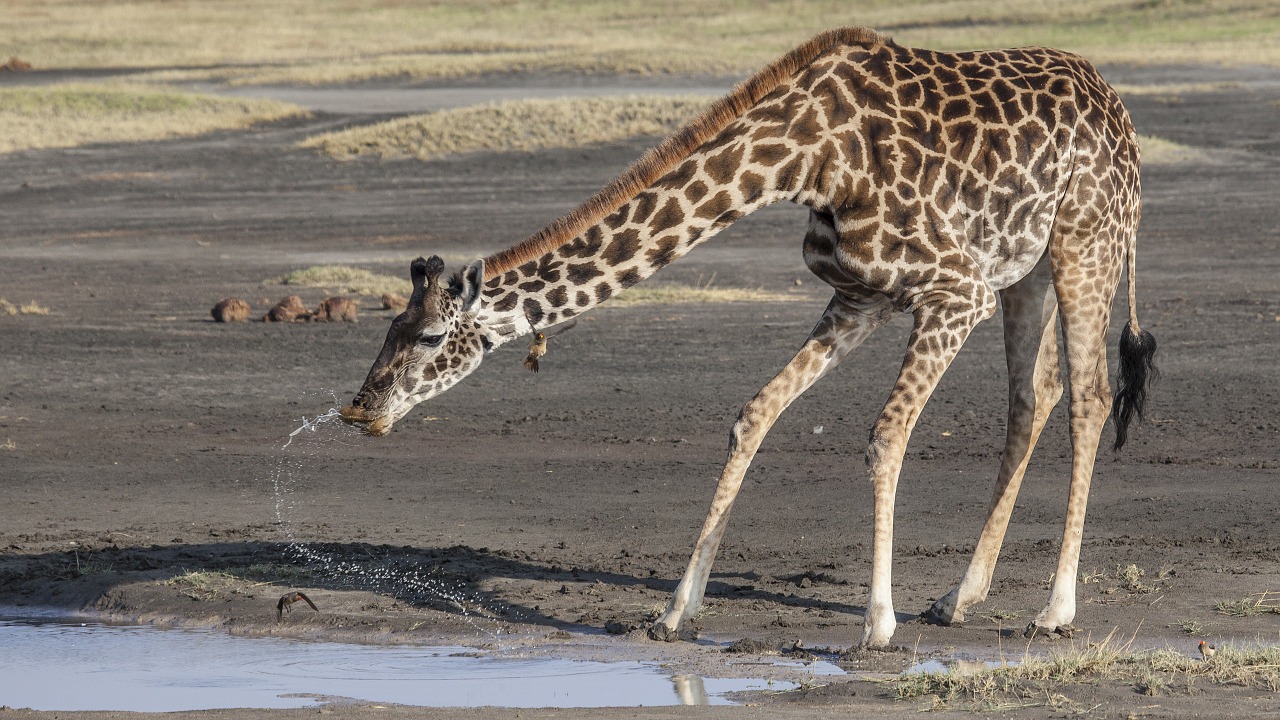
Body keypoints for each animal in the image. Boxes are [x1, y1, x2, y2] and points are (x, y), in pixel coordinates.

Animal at [340, 26, 1162, 645]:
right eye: (391, 326)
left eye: (426, 338)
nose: (360, 409)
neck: (803, 159)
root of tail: (1116, 104)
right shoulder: (862, 297)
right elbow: (754, 415)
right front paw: (675, 611)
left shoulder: (955, 291)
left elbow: (885, 436)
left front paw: (877, 623)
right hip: (1025, 266)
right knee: (1035, 395)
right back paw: (960, 598)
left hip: (1085, 240)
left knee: (1089, 396)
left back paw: (1053, 610)